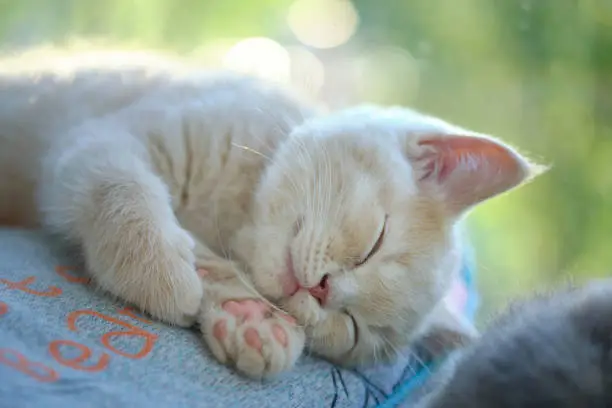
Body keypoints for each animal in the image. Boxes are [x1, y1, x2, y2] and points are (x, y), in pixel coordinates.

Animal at [0, 48, 544, 380]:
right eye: (375, 243)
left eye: (352, 328)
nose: (322, 290)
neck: (233, 209)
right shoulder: (101, 140)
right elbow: (121, 188)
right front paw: (162, 274)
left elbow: (217, 264)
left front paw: (254, 320)